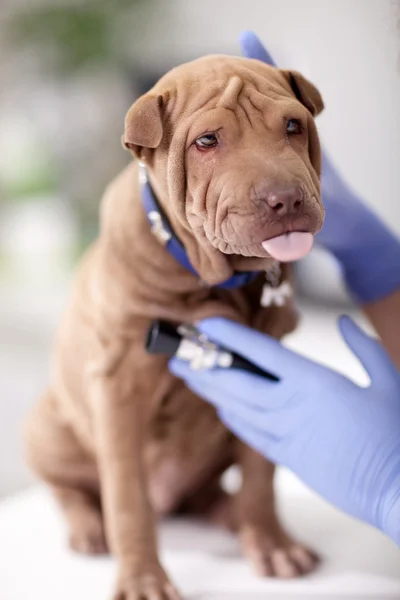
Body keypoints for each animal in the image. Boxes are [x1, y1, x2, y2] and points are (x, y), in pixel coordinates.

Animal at [25, 56, 324, 600]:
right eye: (206, 141)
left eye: (293, 127)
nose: (286, 200)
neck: (211, 278)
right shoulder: (118, 387)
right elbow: (127, 498)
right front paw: (143, 577)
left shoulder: (262, 377)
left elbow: (260, 474)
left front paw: (272, 543)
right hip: (50, 428)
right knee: (70, 488)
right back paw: (87, 525)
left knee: (208, 493)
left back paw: (233, 516)